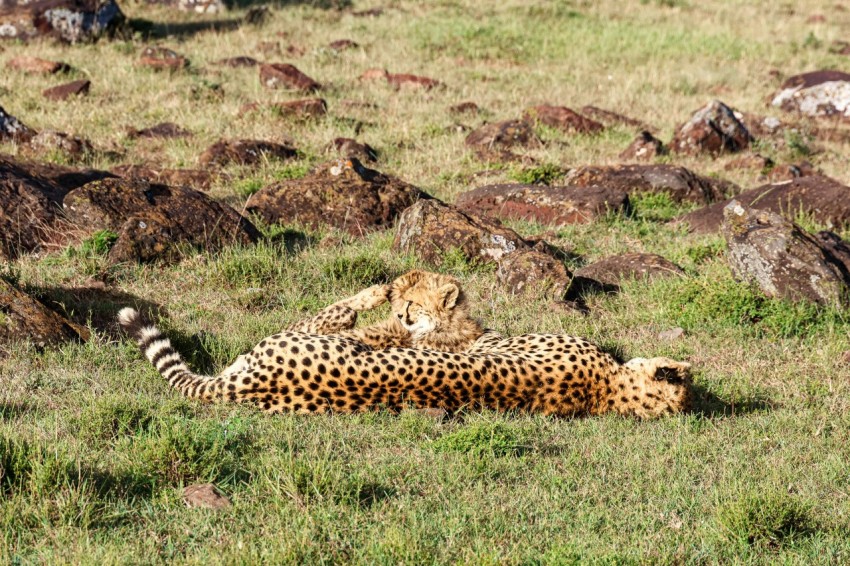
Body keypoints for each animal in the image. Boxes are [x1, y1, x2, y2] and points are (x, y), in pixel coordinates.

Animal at [118, 270, 692, 419]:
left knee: (332, 314)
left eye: (414, 304)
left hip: (298, 336)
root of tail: (247, 386)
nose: (400, 306)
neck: (608, 390)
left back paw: (372, 290)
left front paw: (390, 297)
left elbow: (372, 328)